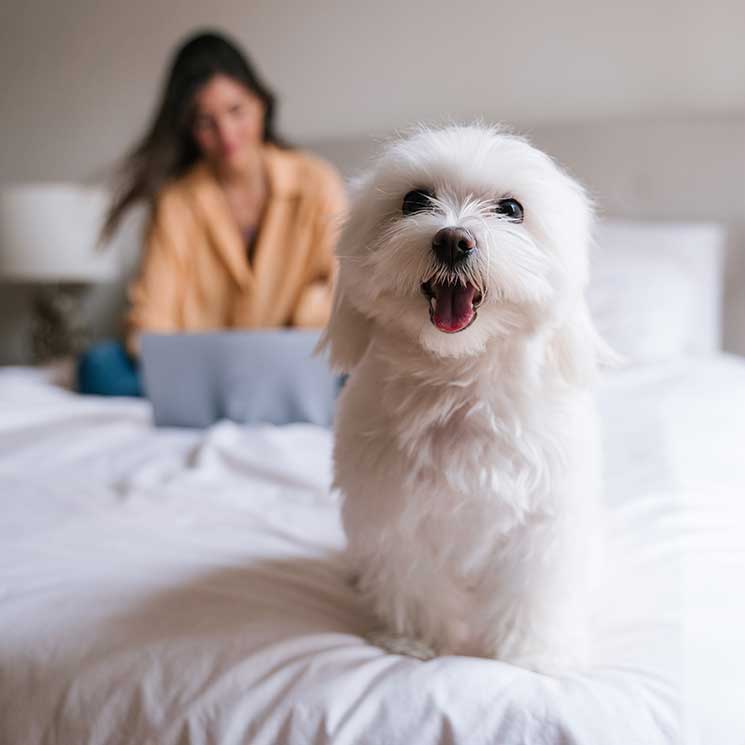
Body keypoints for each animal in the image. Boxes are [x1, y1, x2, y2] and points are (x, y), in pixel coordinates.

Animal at [320, 123, 604, 676]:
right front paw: (414, 641)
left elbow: (532, 590)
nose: (453, 239)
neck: (459, 382)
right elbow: (412, 580)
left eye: (511, 208)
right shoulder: (392, 511)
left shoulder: (543, 520)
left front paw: (532, 653)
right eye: (414, 200)